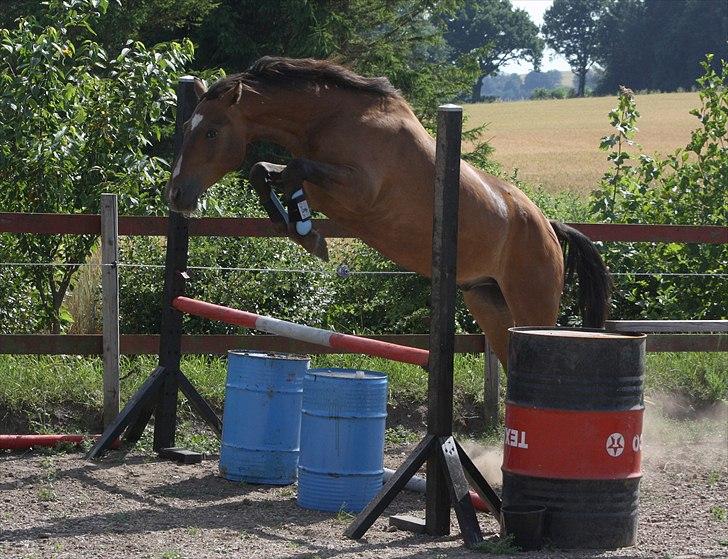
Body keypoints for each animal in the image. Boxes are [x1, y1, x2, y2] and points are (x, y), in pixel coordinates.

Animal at [164, 54, 608, 366]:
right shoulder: (329, 189)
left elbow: (295, 169)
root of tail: (550, 228)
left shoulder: (359, 192)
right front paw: (300, 227)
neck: (333, 119)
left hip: (532, 303)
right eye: (186, 129)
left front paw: (307, 231)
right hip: (488, 303)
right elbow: (267, 171)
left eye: (212, 132)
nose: (177, 196)